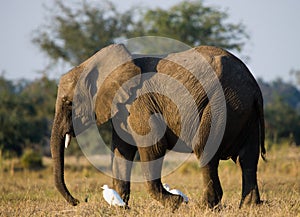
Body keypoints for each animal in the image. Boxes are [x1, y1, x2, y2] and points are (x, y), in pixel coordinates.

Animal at [50, 42, 266, 210]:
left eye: (68, 103)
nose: (78, 201)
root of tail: (254, 87)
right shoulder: (122, 110)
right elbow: (122, 151)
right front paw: (122, 208)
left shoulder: (139, 105)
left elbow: (153, 146)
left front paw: (175, 203)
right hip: (243, 110)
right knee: (247, 158)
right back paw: (249, 206)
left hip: (222, 104)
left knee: (205, 151)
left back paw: (205, 206)